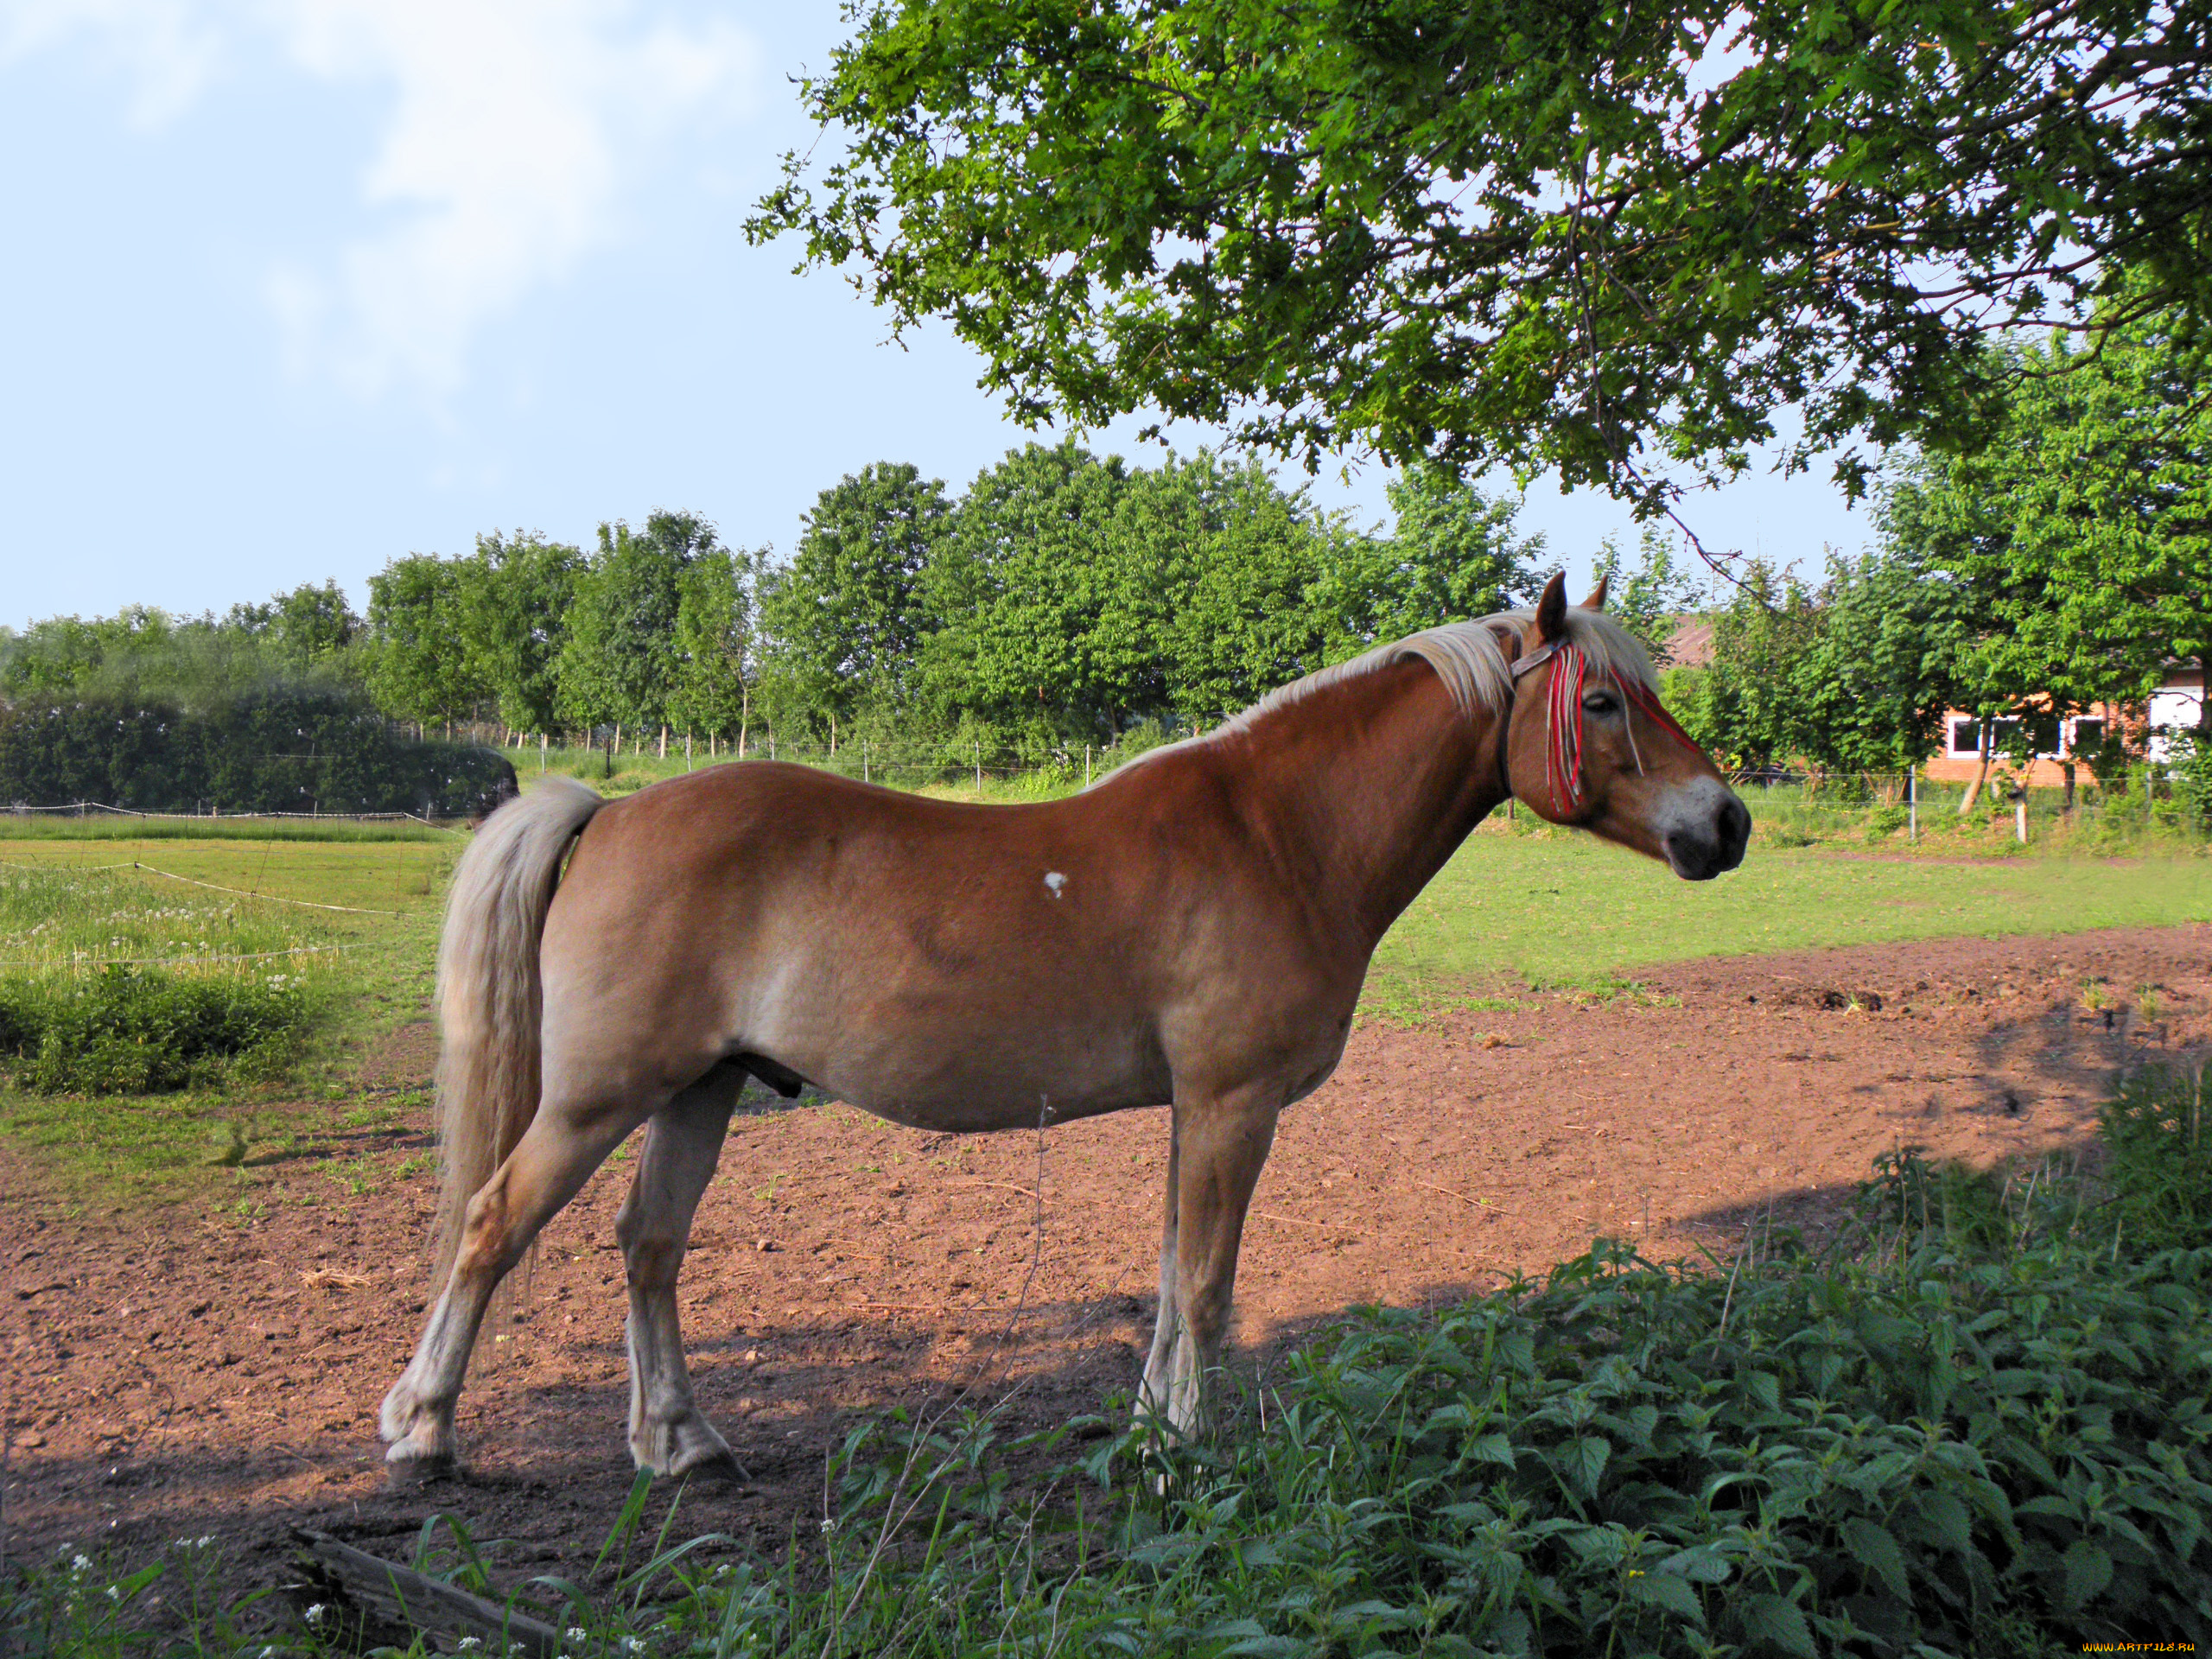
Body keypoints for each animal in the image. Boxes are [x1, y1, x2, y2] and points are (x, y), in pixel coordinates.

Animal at [389, 575, 1751, 1478]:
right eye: (1607, 703)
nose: (1725, 823)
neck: (1277, 835)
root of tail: (611, 810)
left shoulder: (1201, 1111)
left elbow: (1172, 1271)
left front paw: (1153, 1426)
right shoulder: (1232, 1105)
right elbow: (1205, 1280)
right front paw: (1187, 1447)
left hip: (701, 1088)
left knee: (650, 1246)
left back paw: (680, 1444)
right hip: (599, 1096)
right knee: (492, 1225)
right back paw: (422, 1430)